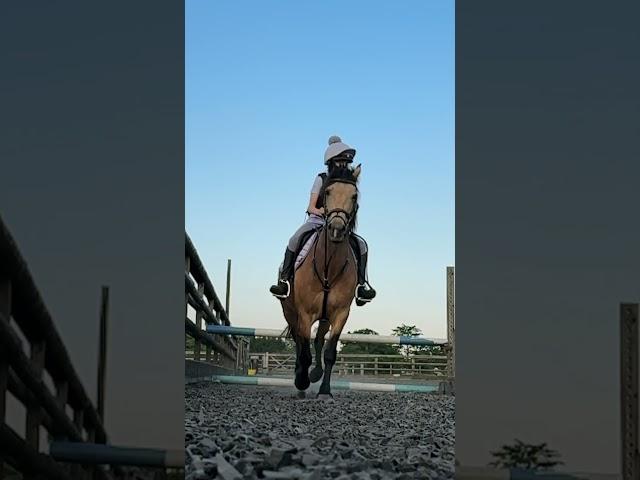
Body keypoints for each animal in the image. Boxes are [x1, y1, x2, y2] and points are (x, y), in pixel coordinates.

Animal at [278, 163, 362, 400]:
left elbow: (330, 352)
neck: (328, 268)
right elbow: (304, 351)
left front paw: (325, 391)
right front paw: (302, 381)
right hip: (291, 313)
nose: (336, 228)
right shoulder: (304, 313)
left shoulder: (341, 313)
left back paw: (315, 373)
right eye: (327, 192)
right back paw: (301, 380)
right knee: (299, 343)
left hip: (324, 317)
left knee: (318, 340)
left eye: (354, 195)